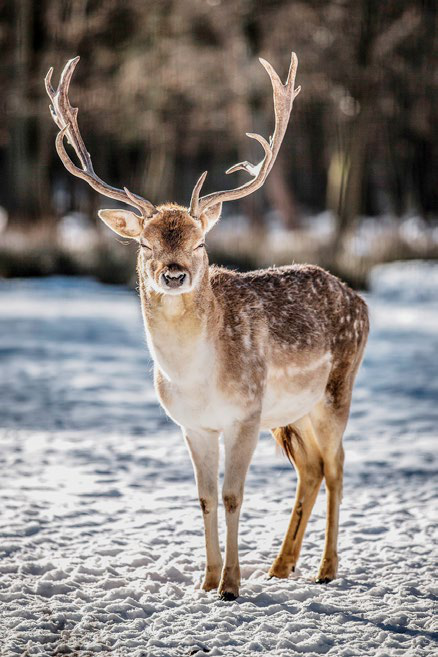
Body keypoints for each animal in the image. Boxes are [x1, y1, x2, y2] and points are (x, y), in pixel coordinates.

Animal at [44, 53, 368, 596]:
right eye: (145, 244)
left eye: (199, 242)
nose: (174, 273)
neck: (196, 378)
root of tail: (360, 300)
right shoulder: (192, 425)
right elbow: (205, 498)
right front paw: (207, 579)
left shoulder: (246, 414)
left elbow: (234, 495)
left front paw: (232, 586)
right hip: (292, 412)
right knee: (312, 468)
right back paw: (281, 566)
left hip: (335, 389)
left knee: (338, 467)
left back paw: (325, 569)